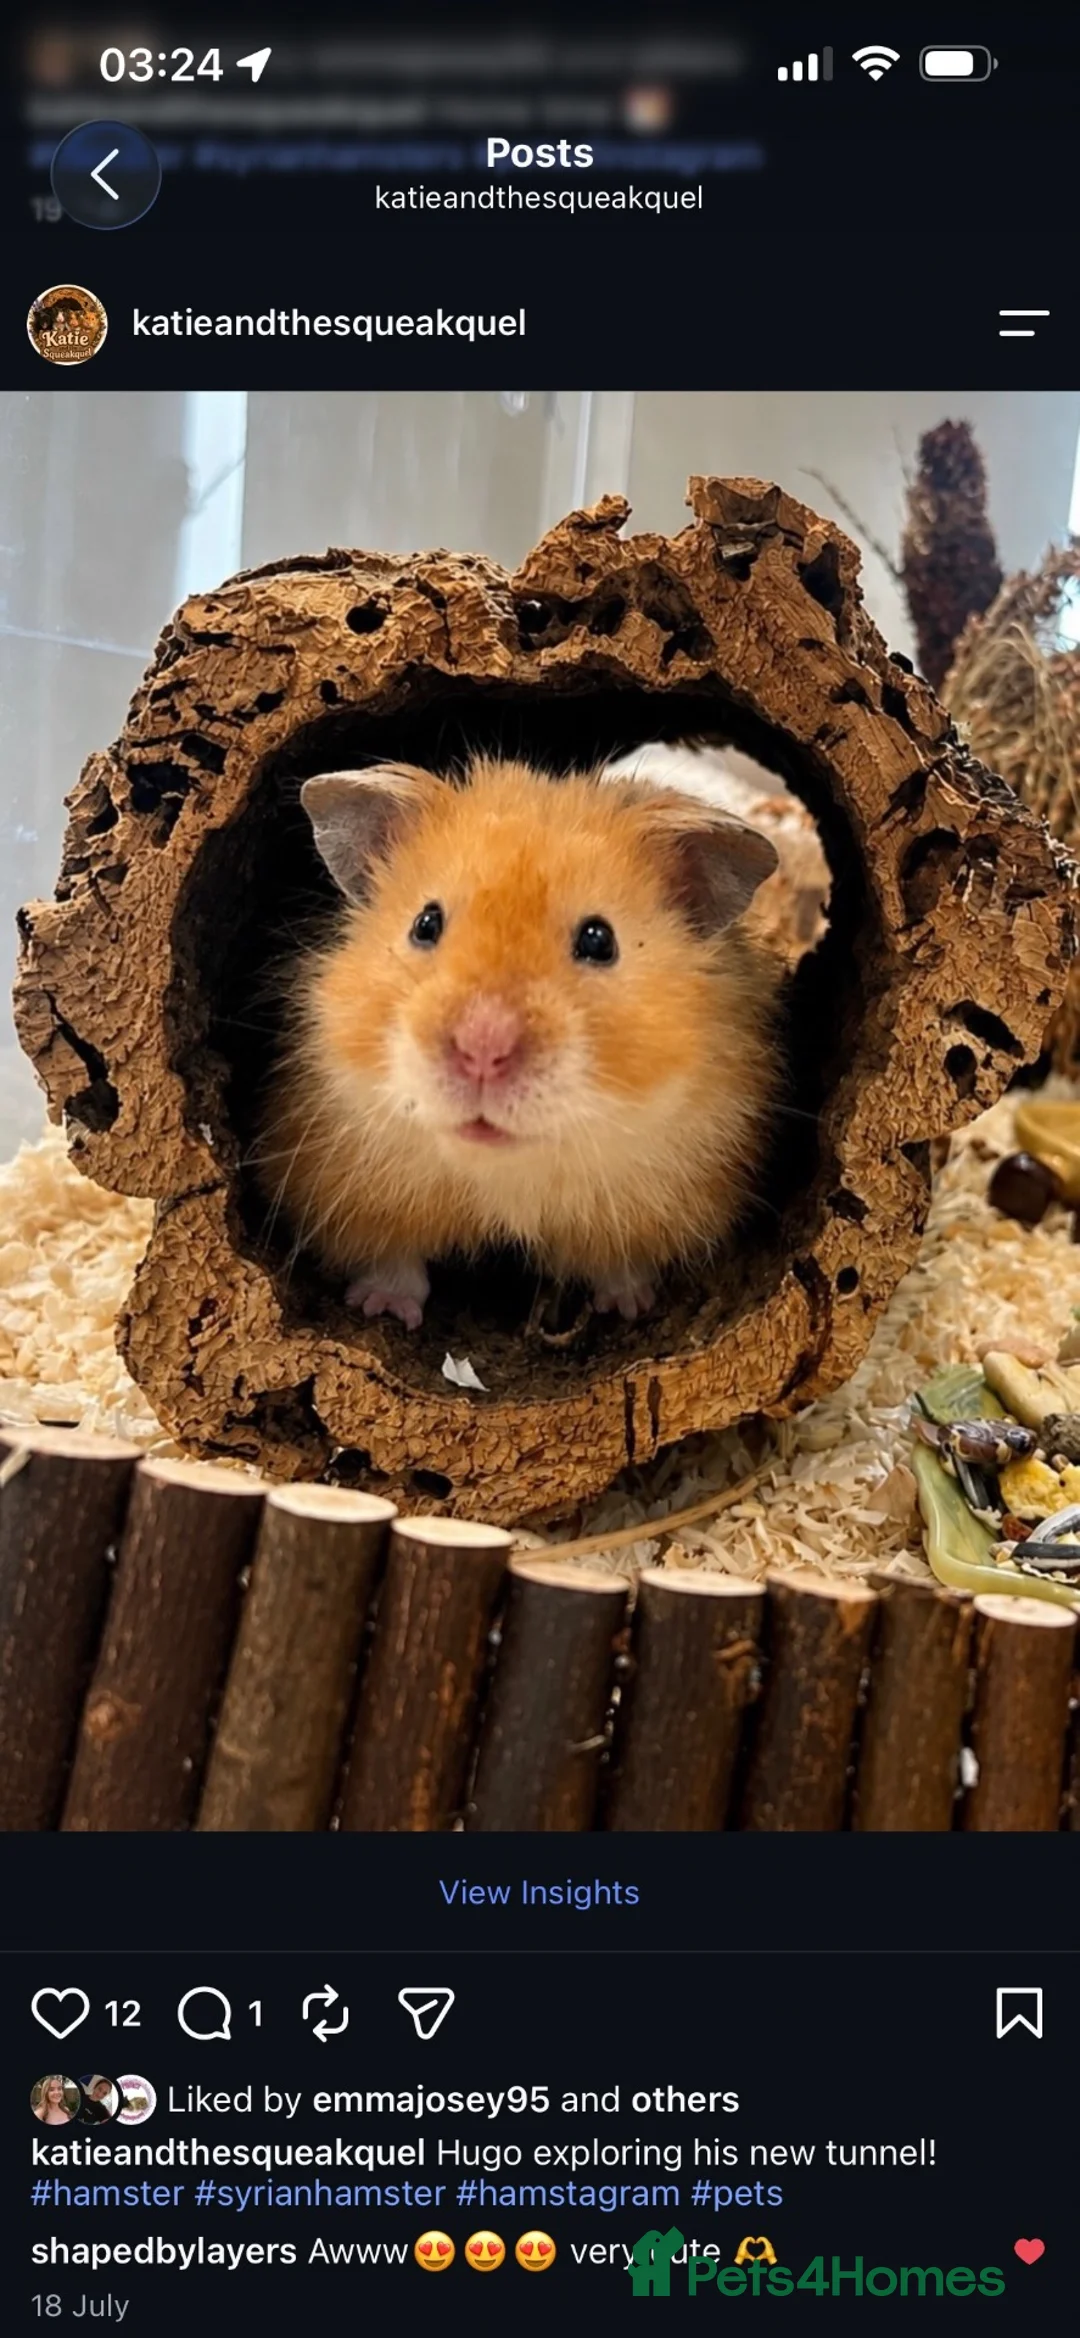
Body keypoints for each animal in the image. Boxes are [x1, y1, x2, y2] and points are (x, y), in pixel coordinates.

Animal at [256, 756, 781, 1327]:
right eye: (425, 923)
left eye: (600, 940)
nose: (482, 1048)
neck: (505, 1167)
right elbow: (393, 1260)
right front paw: (384, 1309)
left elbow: (620, 1263)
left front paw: (628, 1308)